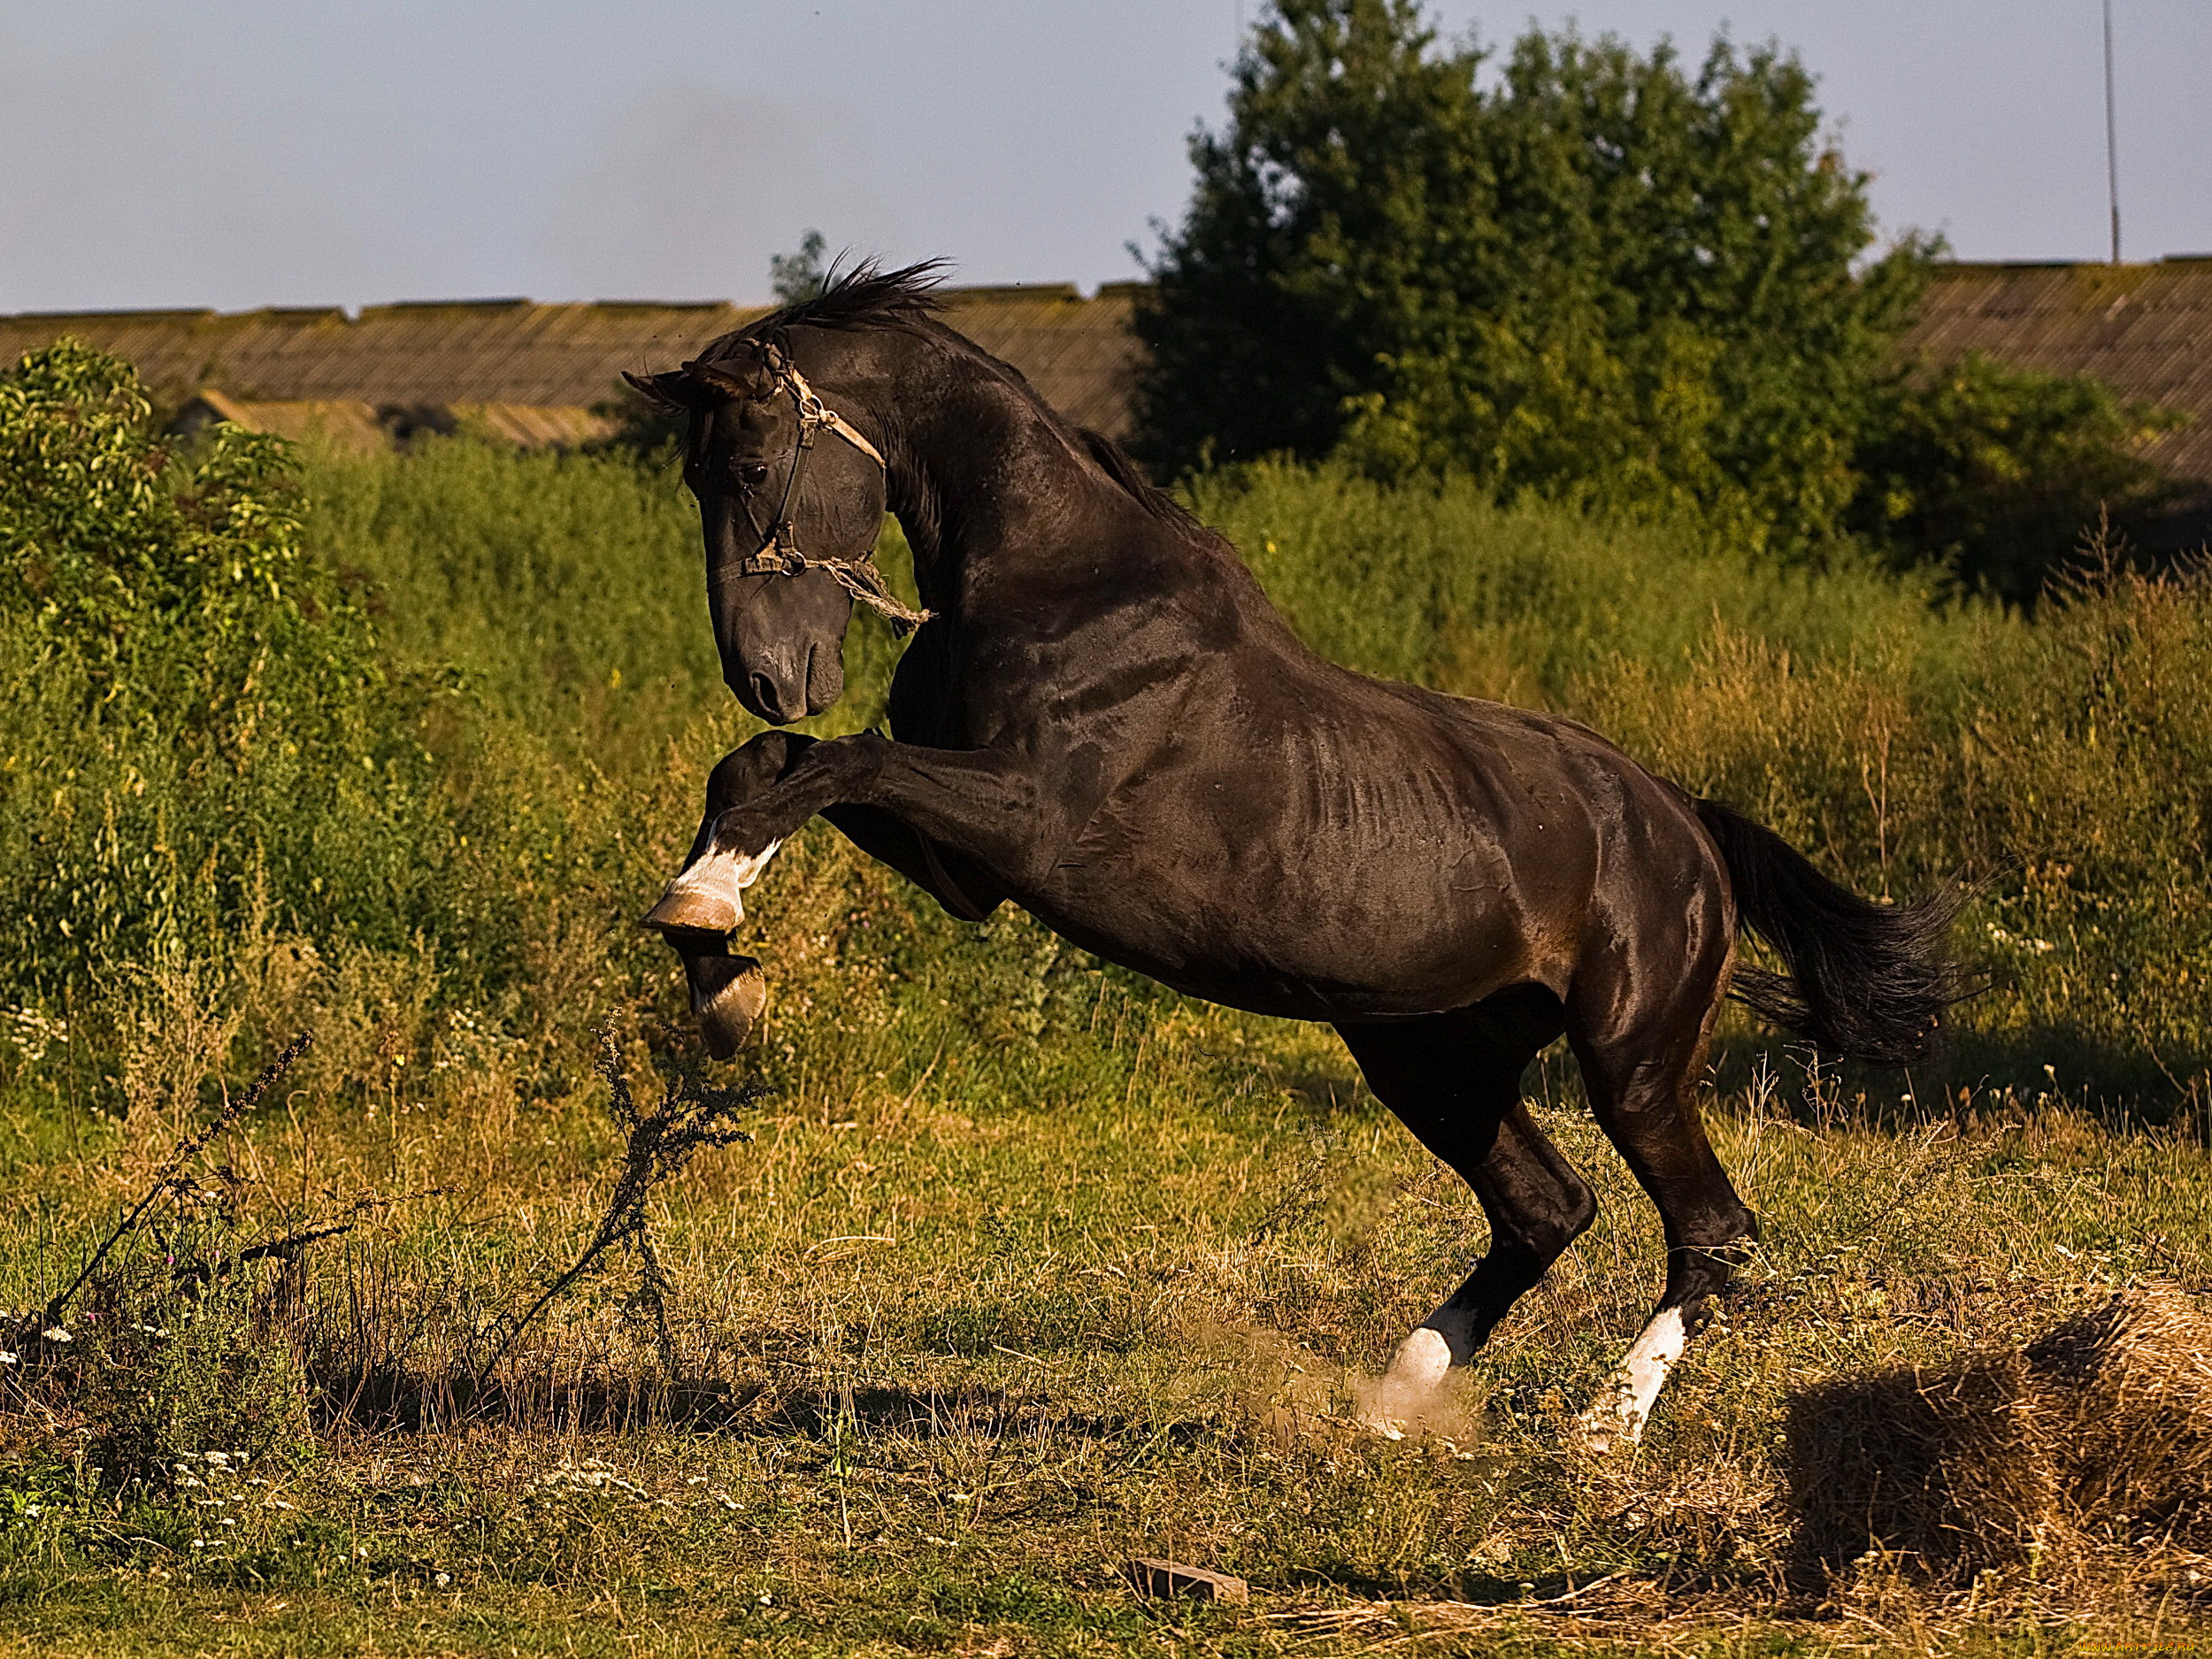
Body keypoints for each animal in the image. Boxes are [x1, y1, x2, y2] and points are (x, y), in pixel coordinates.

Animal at [628, 266, 1973, 1451]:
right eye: (695, 474)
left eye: (750, 466)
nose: (770, 671)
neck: (1057, 585)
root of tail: (1688, 829)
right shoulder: (973, 871)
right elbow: (766, 768)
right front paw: (715, 960)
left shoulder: (1030, 823)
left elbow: (836, 763)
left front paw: (711, 919)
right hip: (1431, 1055)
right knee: (1548, 1208)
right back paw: (1394, 1397)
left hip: (1630, 1060)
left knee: (1713, 1228)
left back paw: (1603, 1425)